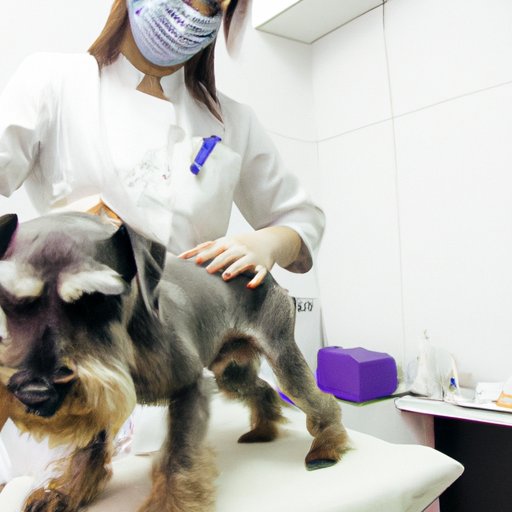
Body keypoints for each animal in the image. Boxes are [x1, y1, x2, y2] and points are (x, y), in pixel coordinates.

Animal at [0, 211, 348, 512]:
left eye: (97, 299)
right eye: (8, 301)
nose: (34, 394)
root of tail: (261, 272)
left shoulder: (189, 388)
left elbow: (180, 458)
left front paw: (170, 504)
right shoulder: (101, 398)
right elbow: (88, 451)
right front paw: (64, 492)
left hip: (283, 358)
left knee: (318, 398)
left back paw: (326, 446)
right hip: (231, 373)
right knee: (262, 389)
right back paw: (263, 430)